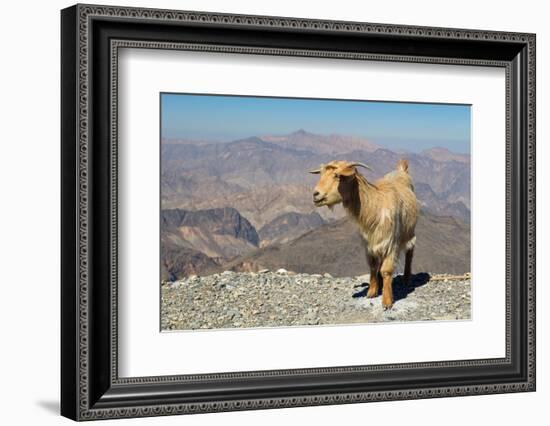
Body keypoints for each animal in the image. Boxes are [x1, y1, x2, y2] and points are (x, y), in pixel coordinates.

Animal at [310, 158, 418, 308]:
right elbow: (373, 266)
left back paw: (407, 278)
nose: (315, 194)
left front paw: (387, 301)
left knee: (410, 252)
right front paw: (372, 292)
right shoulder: (368, 243)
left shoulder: (391, 243)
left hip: (410, 232)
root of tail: (402, 171)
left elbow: (386, 270)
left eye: (337, 175)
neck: (375, 206)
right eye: (320, 174)